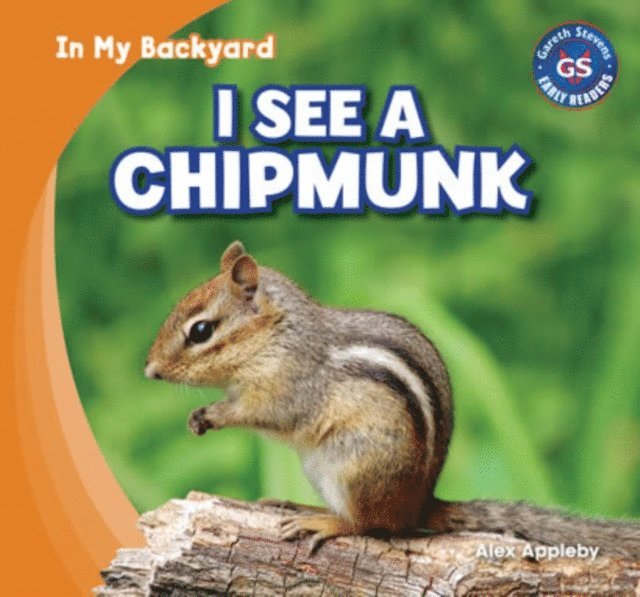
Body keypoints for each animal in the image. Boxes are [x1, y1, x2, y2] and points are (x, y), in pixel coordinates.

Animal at [145, 240, 640, 557]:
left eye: (201, 331)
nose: (150, 371)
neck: (279, 335)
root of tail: (419, 504)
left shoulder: (288, 386)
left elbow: (262, 412)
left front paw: (211, 414)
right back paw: (303, 506)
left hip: (354, 466)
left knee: (368, 526)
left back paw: (324, 521)